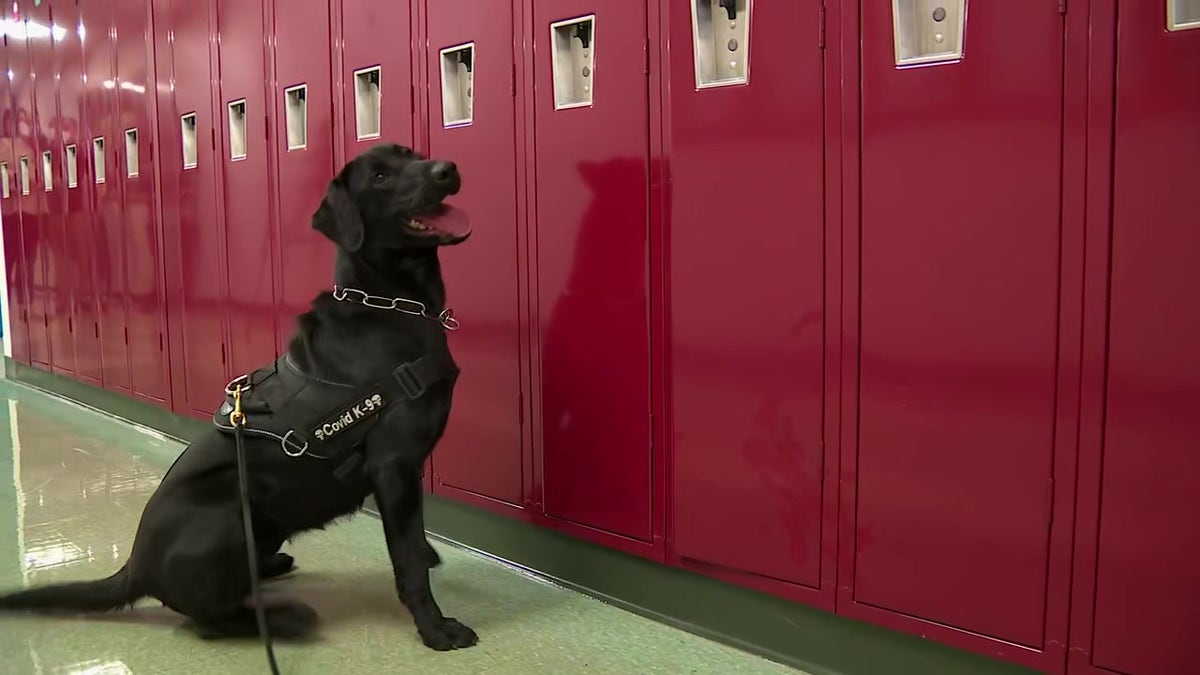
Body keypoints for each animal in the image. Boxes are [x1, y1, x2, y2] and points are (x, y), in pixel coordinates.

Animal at [1, 144, 477, 648]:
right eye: (381, 176)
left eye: (413, 154)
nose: (447, 169)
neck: (391, 305)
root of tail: (135, 566)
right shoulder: (394, 464)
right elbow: (407, 561)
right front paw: (435, 627)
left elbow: (416, 545)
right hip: (233, 515)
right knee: (203, 619)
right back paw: (284, 618)